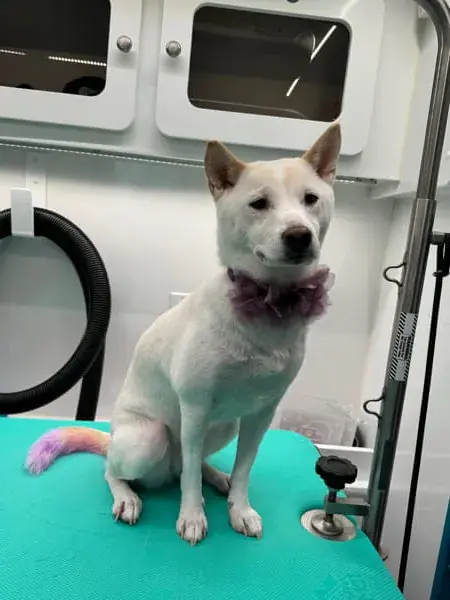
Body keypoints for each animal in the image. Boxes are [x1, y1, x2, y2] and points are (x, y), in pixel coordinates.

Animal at [27, 122, 340, 545]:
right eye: (259, 203)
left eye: (311, 199)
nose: (299, 235)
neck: (267, 304)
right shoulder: (194, 408)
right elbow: (190, 480)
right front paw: (191, 517)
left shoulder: (261, 414)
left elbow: (244, 470)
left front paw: (239, 509)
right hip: (149, 438)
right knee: (125, 471)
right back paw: (128, 496)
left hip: (225, 426)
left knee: (191, 466)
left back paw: (217, 478)